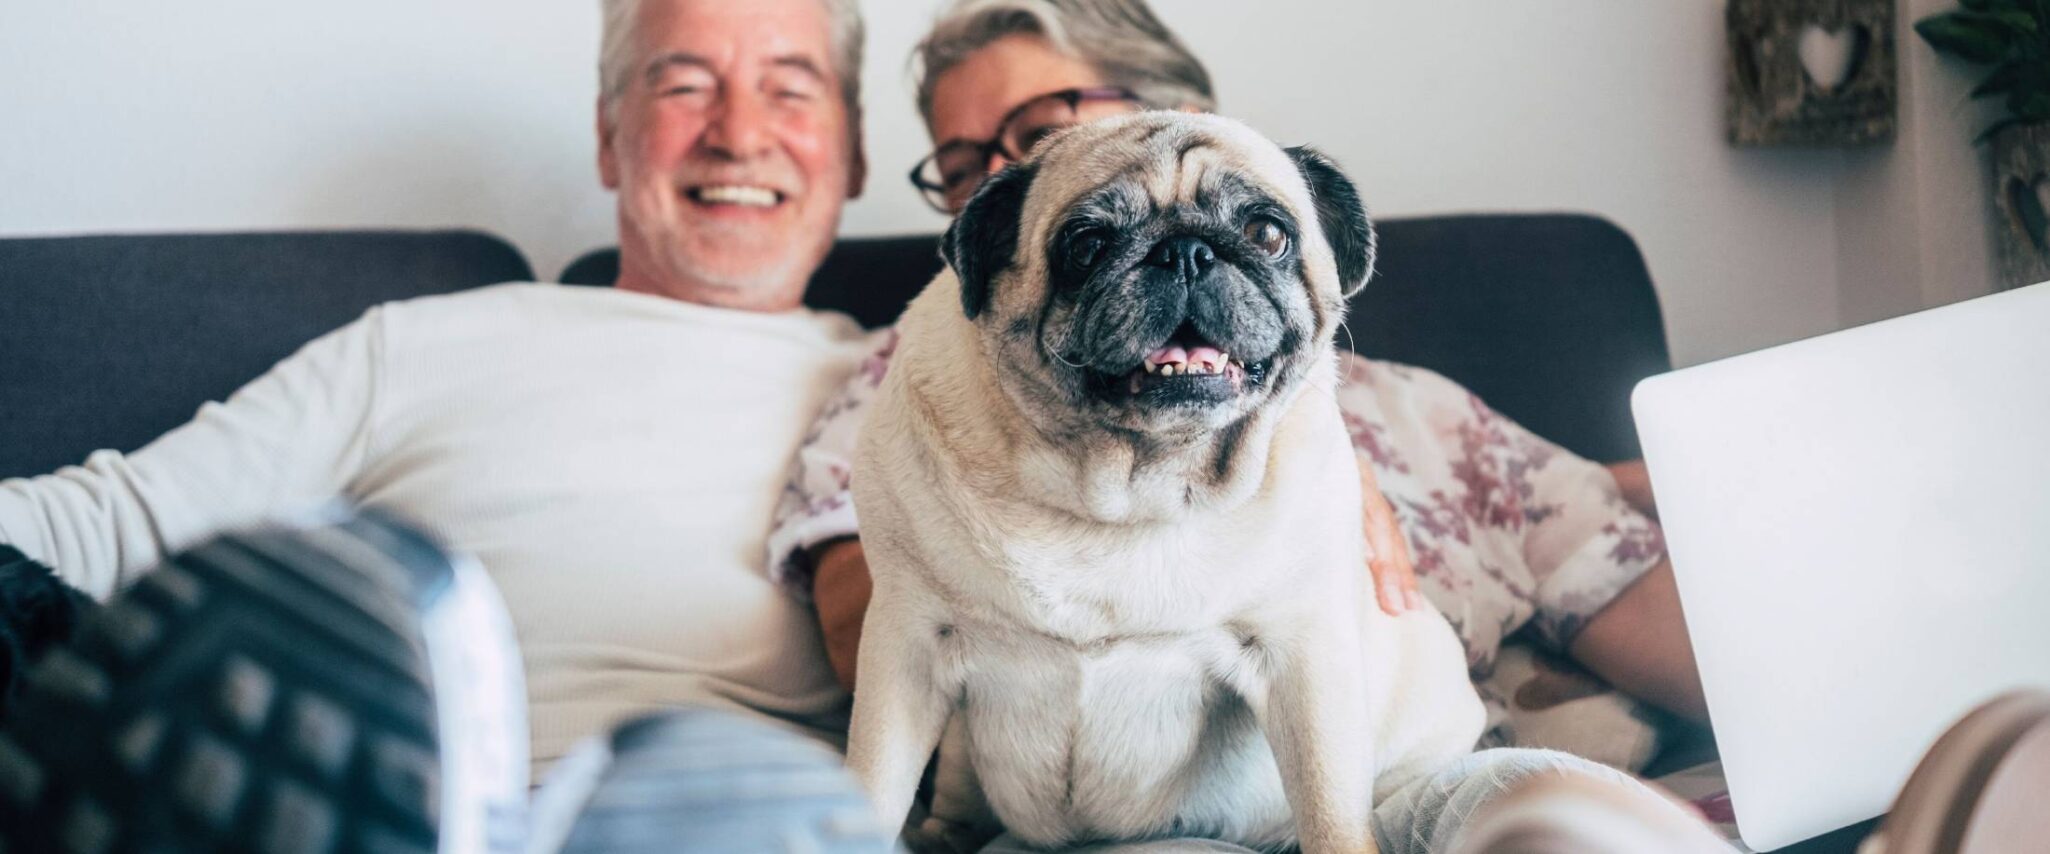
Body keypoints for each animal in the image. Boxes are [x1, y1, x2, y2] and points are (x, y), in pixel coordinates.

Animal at [840, 114, 1484, 851]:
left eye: (1267, 233)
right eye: (1086, 246)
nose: (1186, 252)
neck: (1126, 487)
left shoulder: (1305, 660)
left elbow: (1329, 808)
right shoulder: (907, 648)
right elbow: (873, 780)